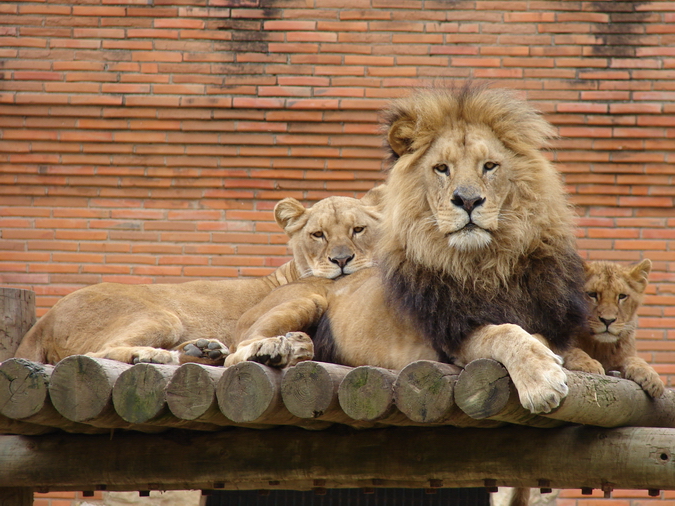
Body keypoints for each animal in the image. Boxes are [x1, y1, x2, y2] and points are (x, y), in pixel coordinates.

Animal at [13, 190, 382, 366]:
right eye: (318, 235)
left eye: (358, 229)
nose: (341, 261)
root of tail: (43, 321)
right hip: (162, 315)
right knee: (94, 353)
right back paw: (153, 355)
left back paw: (201, 350)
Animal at [228, 84, 591, 414]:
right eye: (442, 168)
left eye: (489, 166)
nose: (468, 200)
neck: (487, 264)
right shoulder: (451, 337)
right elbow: (505, 333)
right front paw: (541, 379)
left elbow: (583, 356)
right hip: (304, 300)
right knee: (234, 352)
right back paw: (276, 348)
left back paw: (297, 347)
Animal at [563, 259, 664, 397]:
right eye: (592, 294)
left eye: (622, 296)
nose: (608, 320)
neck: (599, 346)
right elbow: (572, 350)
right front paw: (588, 364)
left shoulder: (622, 357)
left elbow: (635, 359)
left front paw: (652, 377)